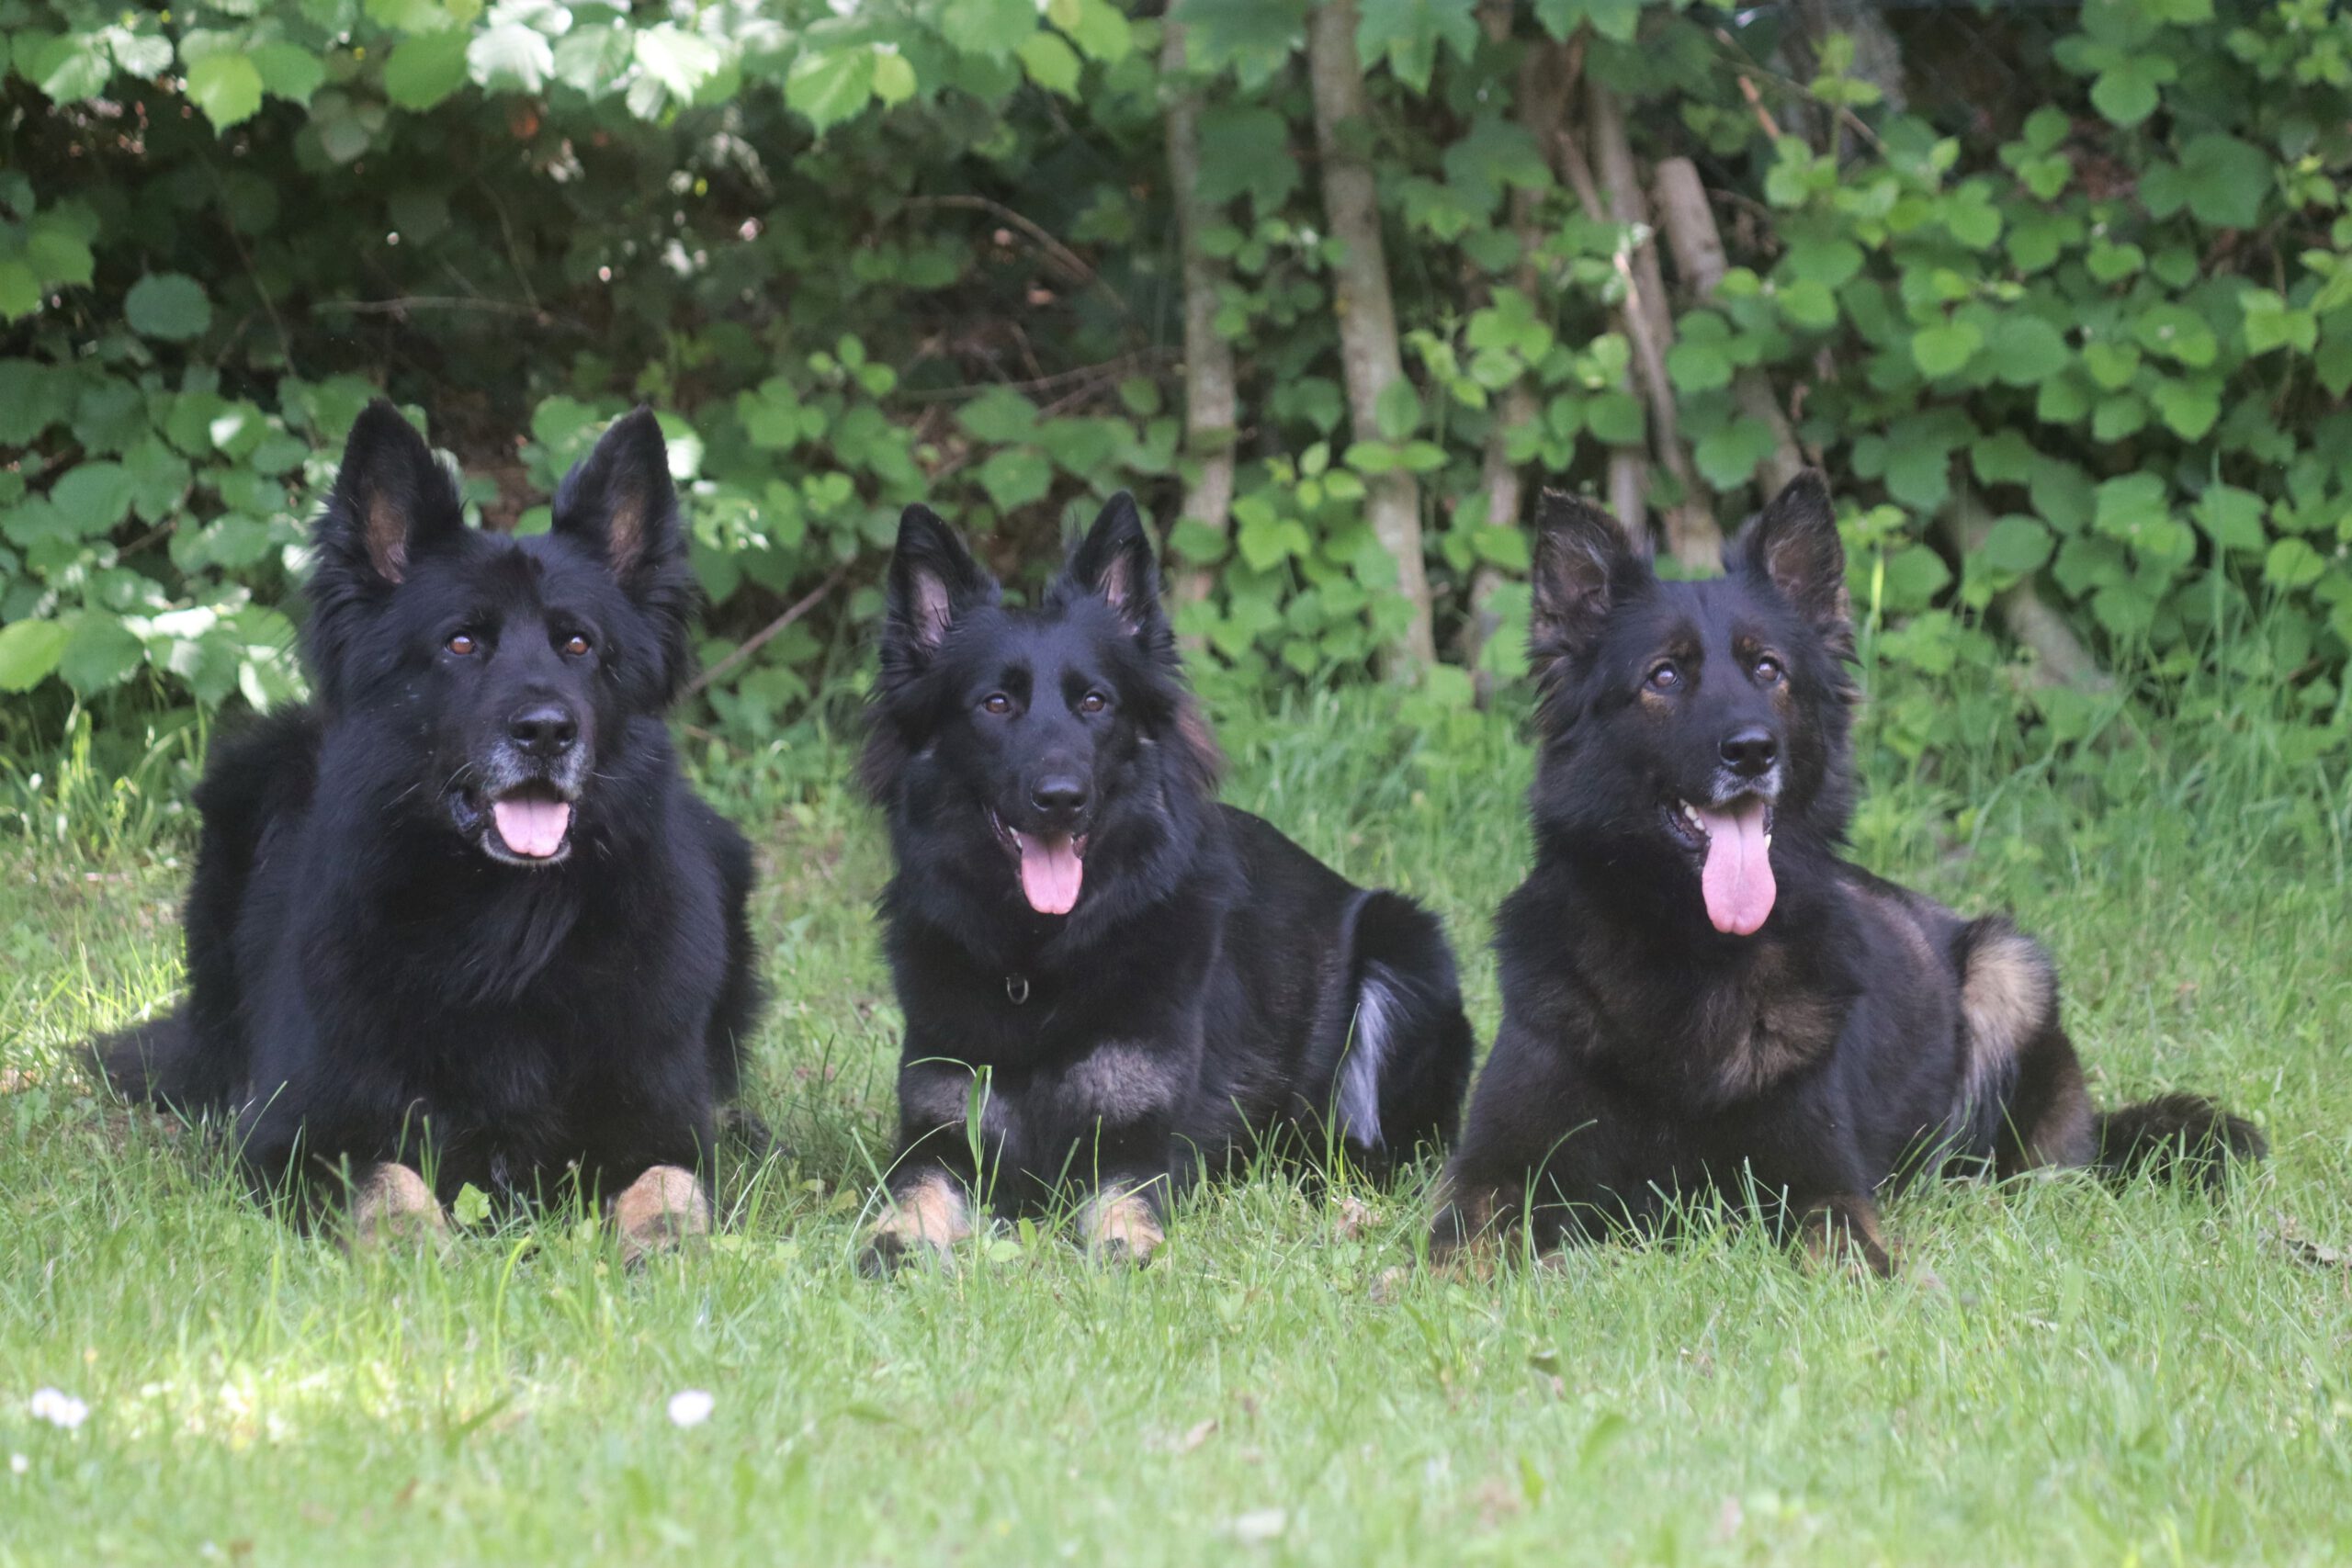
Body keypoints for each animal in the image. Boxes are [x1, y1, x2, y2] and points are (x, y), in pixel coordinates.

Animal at [855, 495, 1467, 1269]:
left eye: (1095, 702)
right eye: (995, 704)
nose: (1063, 798)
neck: (1038, 963)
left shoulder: (1134, 1148)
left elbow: (1122, 1219)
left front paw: (1125, 1254)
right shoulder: (938, 1139)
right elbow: (914, 1196)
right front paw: (895, 1244)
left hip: (1405, 947)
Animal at [1430, 472, 2257, 1269]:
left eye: (1769, 669)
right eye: (1663, 676)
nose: (1753, 750)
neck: (1690, 955)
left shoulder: (1822, 1183)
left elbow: (1844, 1253)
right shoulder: (1490, 1173)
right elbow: (1461, 1253)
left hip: (2008, 968)